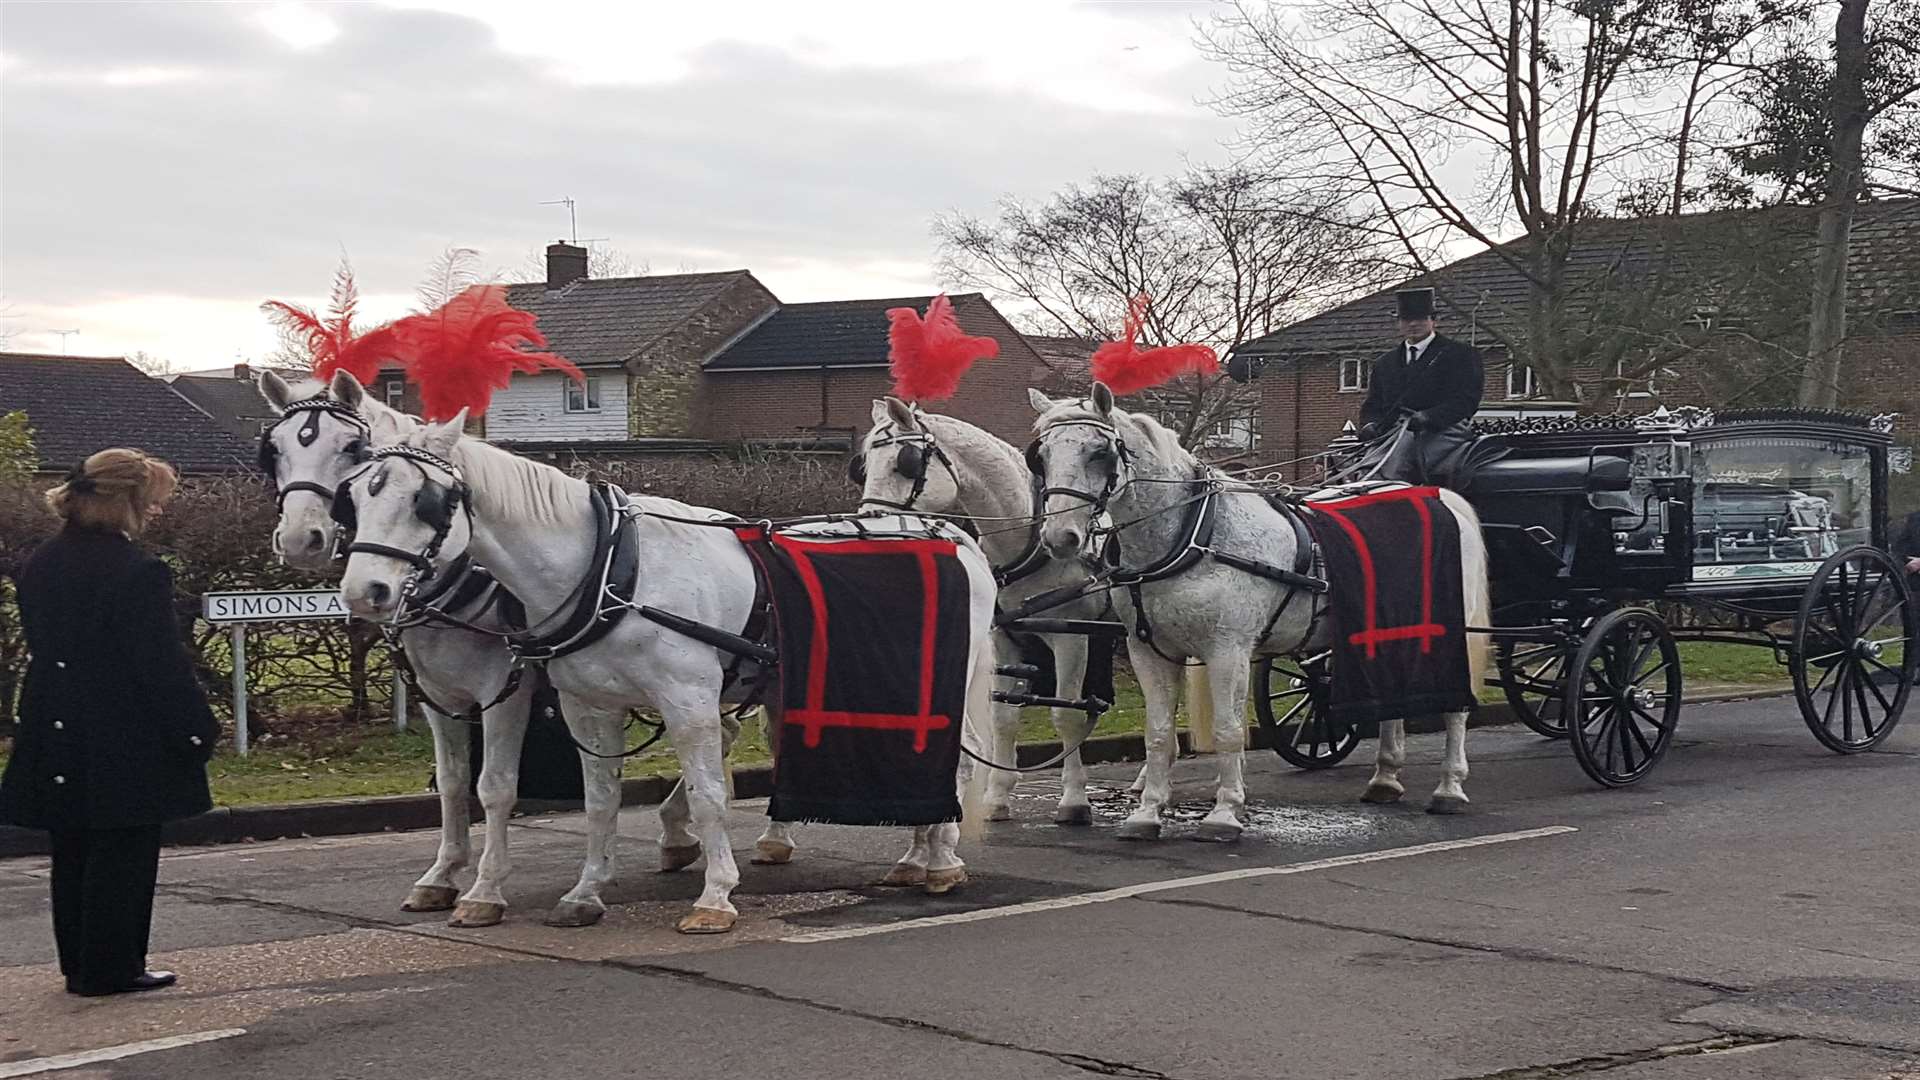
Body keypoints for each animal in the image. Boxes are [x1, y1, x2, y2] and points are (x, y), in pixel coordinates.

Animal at [257, 372, 794, 926]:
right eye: (274, 451)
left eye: (352, 448)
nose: (301, 539)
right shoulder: (444, 699)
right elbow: (457, 784)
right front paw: (442, 876)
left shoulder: (508, 691)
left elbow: (496, 785)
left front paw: (484, 890)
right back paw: (707, 835)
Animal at [332, 407, 998, 930]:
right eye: (357, 495)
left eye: (427, 501)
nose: (365, 592)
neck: (610, 567)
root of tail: (947, 530)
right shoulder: (585, 706)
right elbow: (599, 800)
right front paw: (585, 892)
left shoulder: (686, 701)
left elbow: (709, 796)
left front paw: (715, 897)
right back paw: (915, 854)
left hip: (944, 682)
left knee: (958, 759)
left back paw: (939, 860)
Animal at [852, 399, 1121, 818]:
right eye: (863, 466)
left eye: (905, 462)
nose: (868, 528)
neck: (1029, 542)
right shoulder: (1004, 638)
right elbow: (1004, 718)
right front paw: (997, 798)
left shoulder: (1072, 638)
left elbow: (1067, 714)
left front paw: (1074, 801)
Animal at [1029, 382, 1489, 837]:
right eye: (1043, 455)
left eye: (1099, 452)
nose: (1060, 537)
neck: (1193, 532)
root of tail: (1441, 496)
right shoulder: (1150, 651)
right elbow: (1158, 734)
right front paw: (1147, 813)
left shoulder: (1227, 650)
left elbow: (1228, 730)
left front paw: (1225, 812)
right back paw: (1385, 778)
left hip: (1453, 629)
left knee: (1456, 708)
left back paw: (1449, 787)